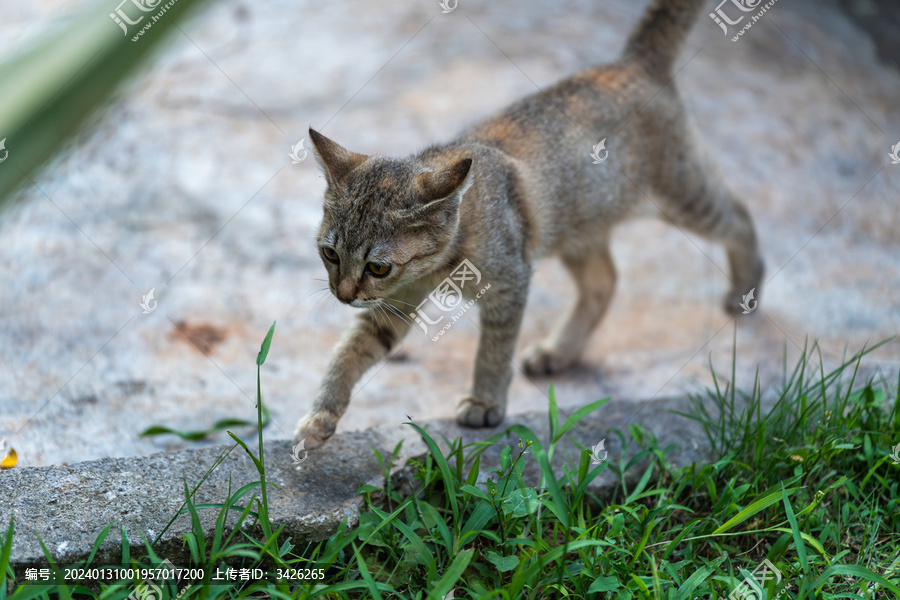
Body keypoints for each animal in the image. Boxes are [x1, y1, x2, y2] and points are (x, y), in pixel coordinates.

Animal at [294, 0, 760, 450]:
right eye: (329, 253)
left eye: (377, 266)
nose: (342, 295)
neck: (442, 261)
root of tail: (632, 62)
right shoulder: (396, 303)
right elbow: (350, 353)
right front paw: (320, 417)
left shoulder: (509, 281)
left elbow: (494, 351)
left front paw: (484, 403)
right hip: (579, 227)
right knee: (604, 280)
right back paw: (560, 350)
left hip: (681, 196)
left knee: (739, 215)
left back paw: (746, 288)